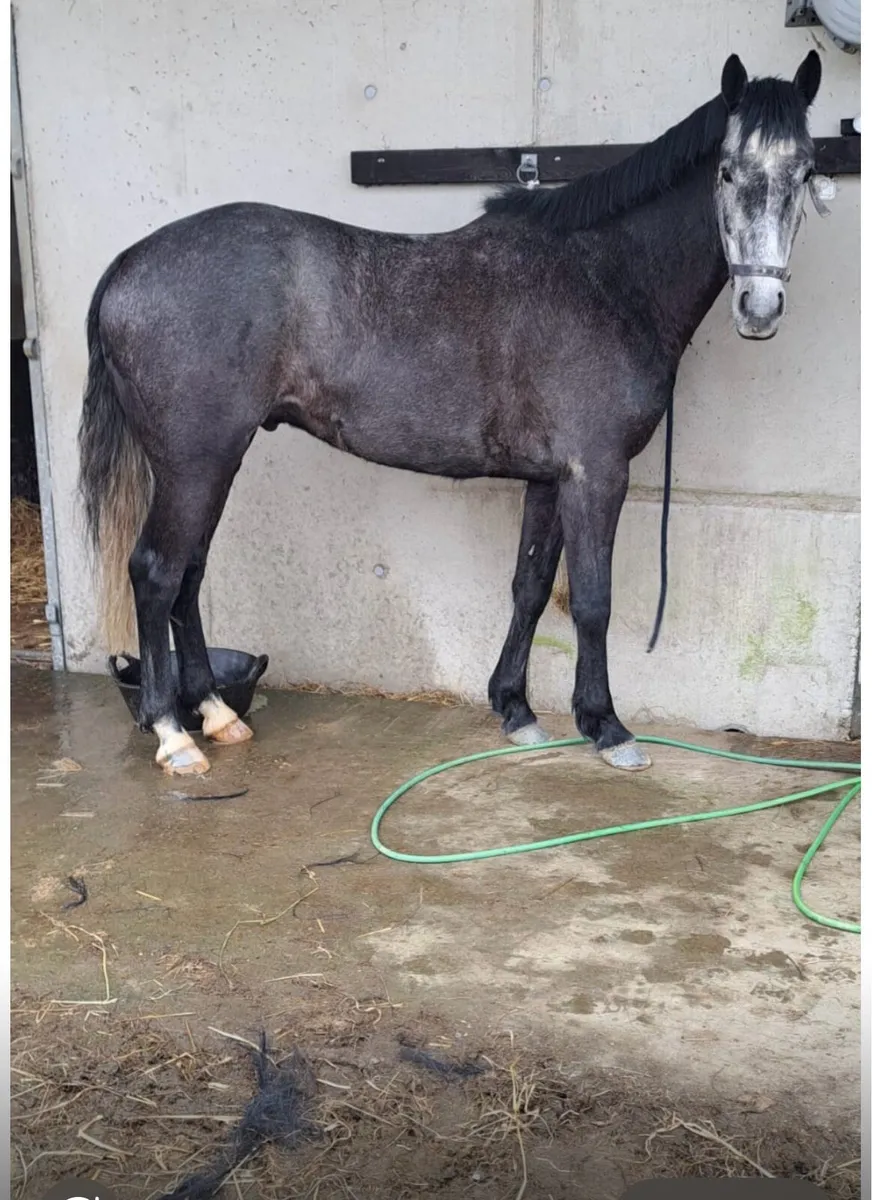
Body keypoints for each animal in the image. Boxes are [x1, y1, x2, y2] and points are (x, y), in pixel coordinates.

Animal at [77, 51, 824, 778]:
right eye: (727, 171)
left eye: (805, 171)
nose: (760, 308)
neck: (606, 278)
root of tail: (126, 266)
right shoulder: (596, 474)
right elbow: (592, 601)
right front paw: (606, 726)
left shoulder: (550, 479)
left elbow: (529, 587)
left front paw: (516, 709)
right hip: (195, 462)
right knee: (156, 571)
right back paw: (173, 733)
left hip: (213, 464)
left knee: (190, 574)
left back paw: (215, 713)